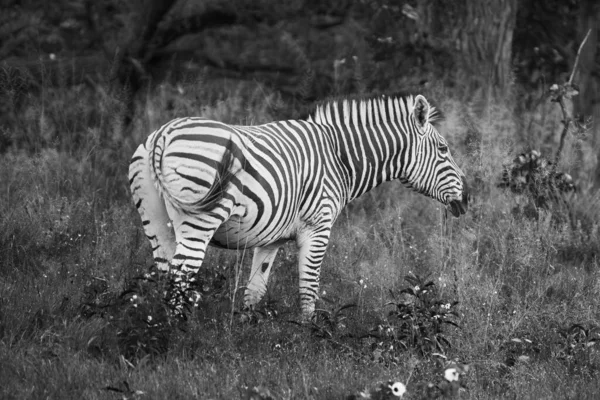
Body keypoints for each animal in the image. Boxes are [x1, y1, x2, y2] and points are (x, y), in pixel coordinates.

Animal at [129, 94, 472, 318]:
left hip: (154, 219)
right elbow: (309, 288)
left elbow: (255, 291)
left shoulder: (270, 239)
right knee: (180, 276)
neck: (339, 158)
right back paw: (178, 336)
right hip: (199, 220)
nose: (468, 198)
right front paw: (309, 340)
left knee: (165, 274)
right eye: (443, 149)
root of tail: (163, 134)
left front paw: (242, 337)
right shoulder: (317, 228)